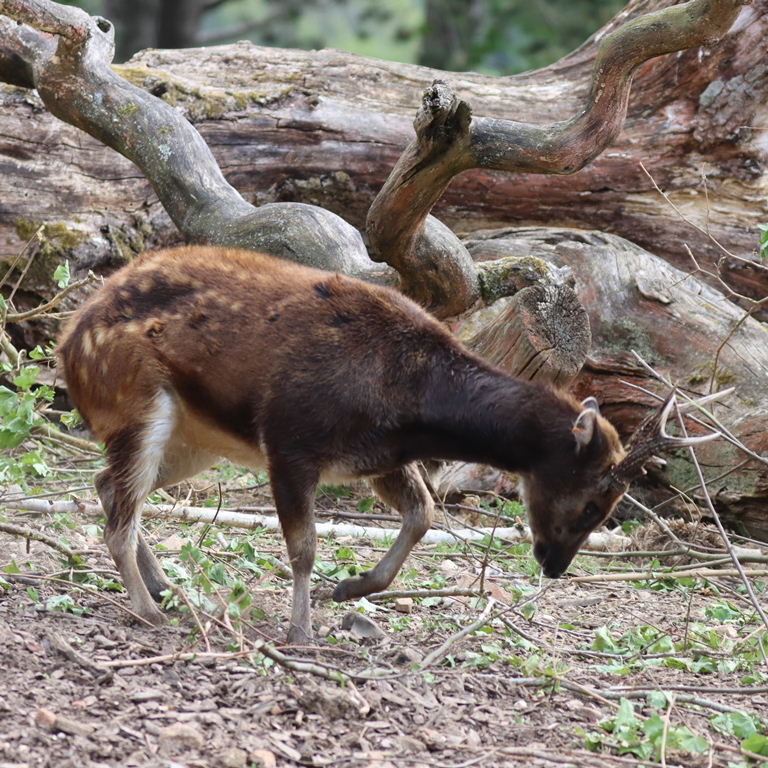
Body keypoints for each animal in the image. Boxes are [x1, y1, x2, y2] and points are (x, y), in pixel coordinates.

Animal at [57, 245, 723, 644]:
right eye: (592, 502)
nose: (555, 565)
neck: (407, 400)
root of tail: (68, 342)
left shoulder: (374, 461)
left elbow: (423, 513)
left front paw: (351, 588)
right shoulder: (292, 439)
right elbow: (304, 546)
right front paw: (301, 632)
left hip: (197, 438)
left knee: (107, 487)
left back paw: (164, 589)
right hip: (138, 402)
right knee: (118, 511)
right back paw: (148, 609)